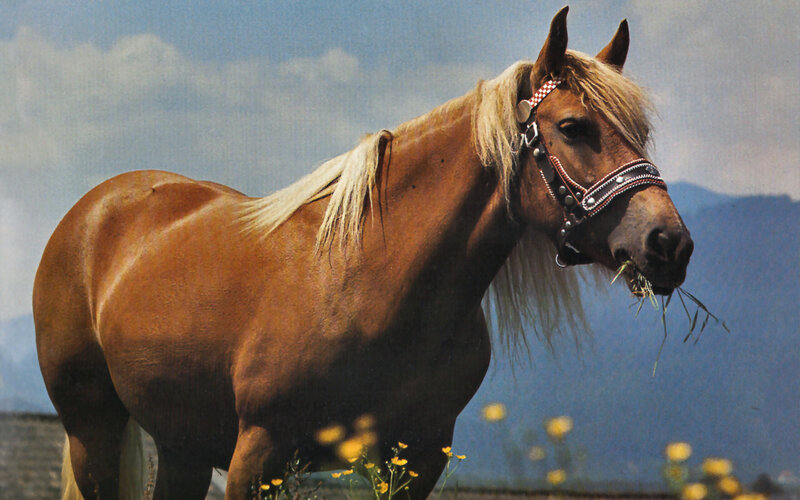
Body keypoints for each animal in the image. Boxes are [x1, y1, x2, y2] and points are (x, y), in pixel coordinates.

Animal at [34, 7, 693, 499]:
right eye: (574, 127)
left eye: (640, 133)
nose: (669, 243)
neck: (372, 281)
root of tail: (93, 211)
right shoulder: (258, 453)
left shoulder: (414, 458)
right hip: (92, 430)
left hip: (181, 444)